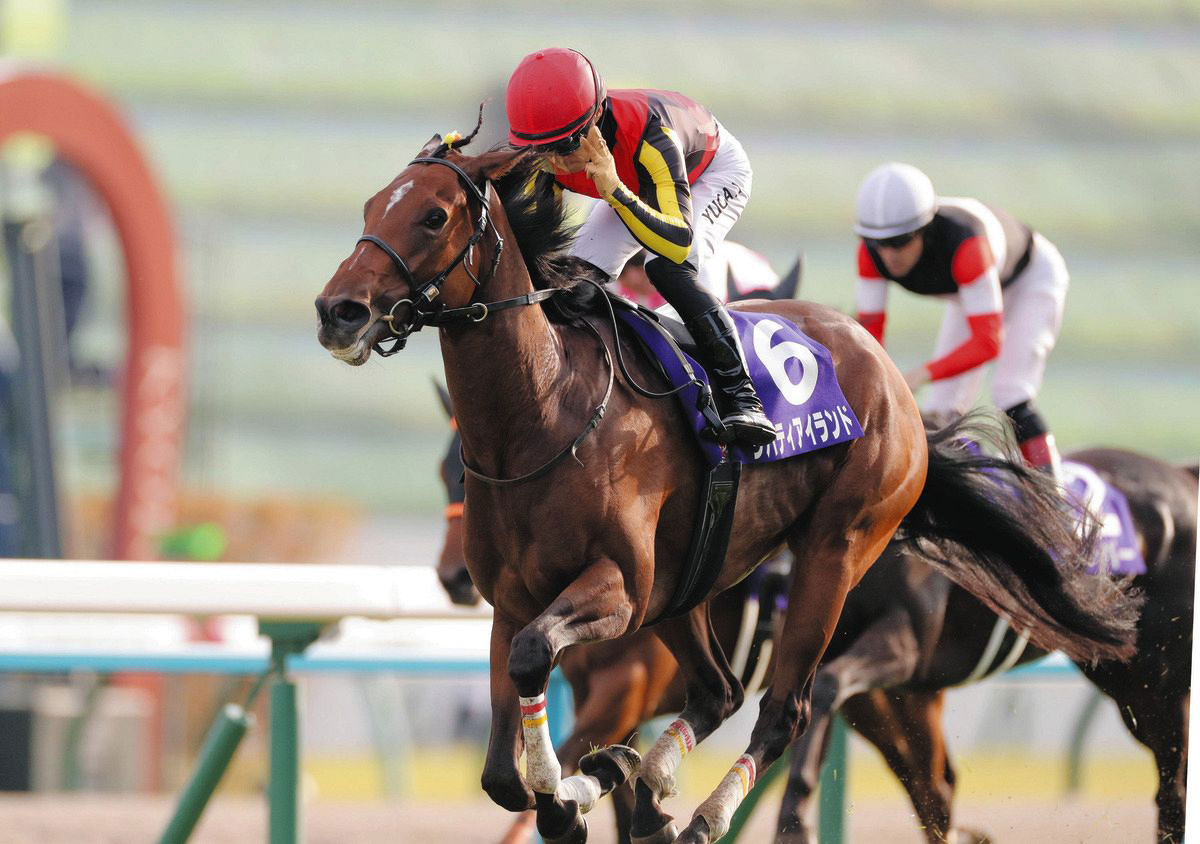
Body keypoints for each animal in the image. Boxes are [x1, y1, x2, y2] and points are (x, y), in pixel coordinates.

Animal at [315, 130, 1137, 844]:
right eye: (371, 206)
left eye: (433, 214)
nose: (337, 311)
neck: (546, 415)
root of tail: (885, 371)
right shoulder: (517, 602)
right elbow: (499, 770)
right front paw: (587, 784)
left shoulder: (620, 594)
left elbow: (532, 671)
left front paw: (570, 791)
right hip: (695, 591)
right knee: (732, 696)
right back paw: (644, 783)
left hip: (835, 555)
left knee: (787, 707)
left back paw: (703, 814)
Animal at [774, 449, 1197, 844]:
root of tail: (1183, 476)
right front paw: (794, 817)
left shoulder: (907, 643)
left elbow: (831, 686)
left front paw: (793, 823)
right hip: (1127, 682)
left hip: (1163, 679)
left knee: (1173, 787)